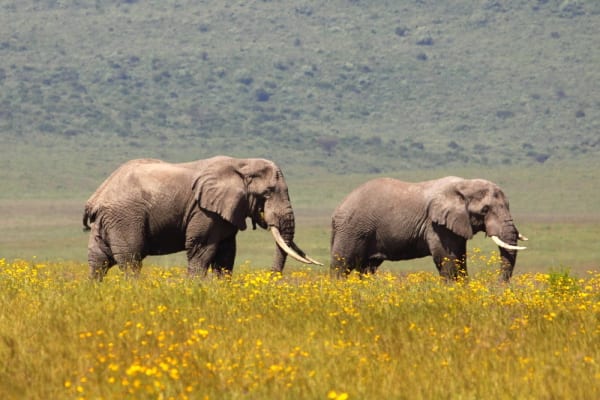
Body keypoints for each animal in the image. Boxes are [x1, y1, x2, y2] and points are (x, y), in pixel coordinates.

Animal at [83, 156, 324, 282]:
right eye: (267, 194)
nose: (271, 277)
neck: (242, 163)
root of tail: (97, 196)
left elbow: (226, 253)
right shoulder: (205, 211)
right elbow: (202, 249)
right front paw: (194, 288)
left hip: (108, 221)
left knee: (99, 259)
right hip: (125, 217)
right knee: (130, 259)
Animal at [330, 175, 528, 282]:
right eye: (485, 210)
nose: (497, 286)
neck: (464, 184)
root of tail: (338, 208)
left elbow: (459, 257)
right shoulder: (436, 225)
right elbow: (447, 257)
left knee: (366, 268)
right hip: (352, 229)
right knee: (342, 264)